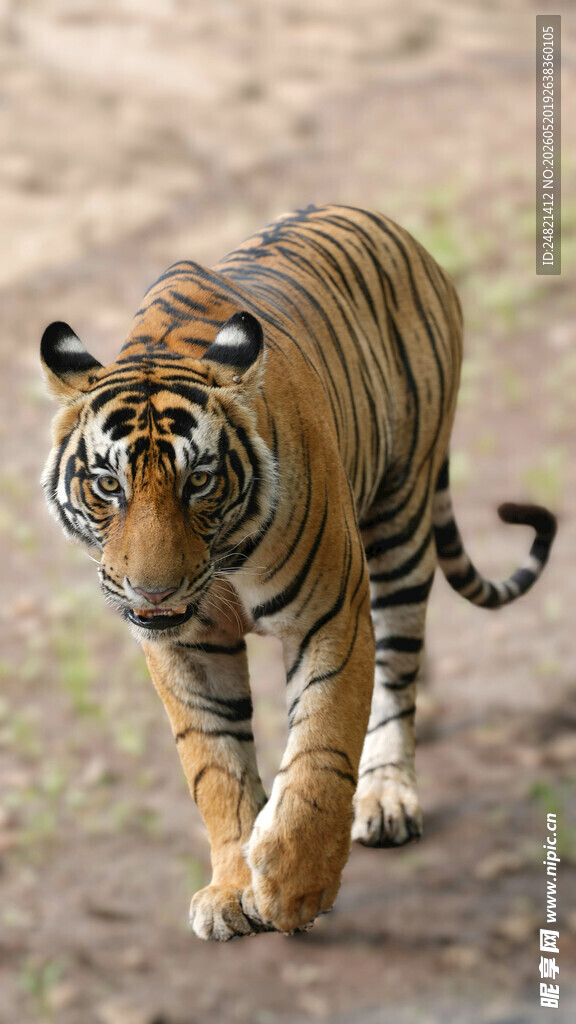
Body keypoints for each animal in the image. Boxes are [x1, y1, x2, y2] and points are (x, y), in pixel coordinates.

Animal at [41, 205, 556, 941]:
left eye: (199, 481)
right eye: (108, 485)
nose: (154, 590)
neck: (221, 566)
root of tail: (389, 224)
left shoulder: (330, 616)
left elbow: (320, 750)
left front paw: (291, 889)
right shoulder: (184, 646)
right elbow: (215, 765)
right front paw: (231, 889)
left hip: (400, 523)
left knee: (397, 672)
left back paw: (387, 796)